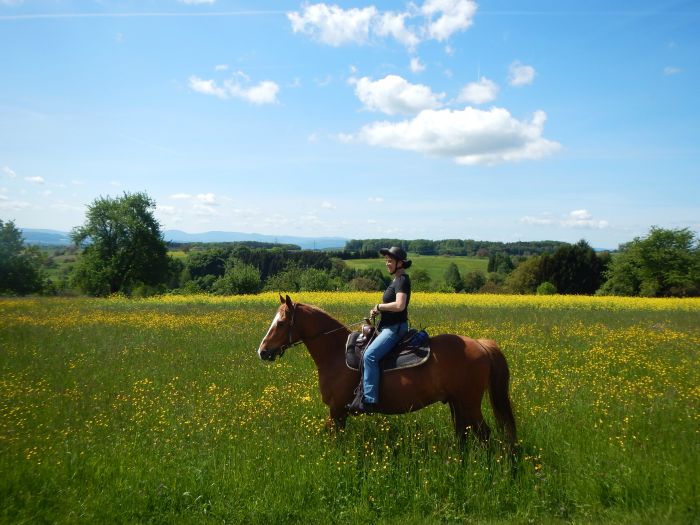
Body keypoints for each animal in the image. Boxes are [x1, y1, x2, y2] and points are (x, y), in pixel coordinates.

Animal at [258, 292, 516, 448]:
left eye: (281, 323)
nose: (262, 351)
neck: (336, 353)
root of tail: (480, 344)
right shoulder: (337, 413)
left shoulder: (336, 411)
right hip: (457, 402)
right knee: (463, 433)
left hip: (469, 403)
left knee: (484, 435)